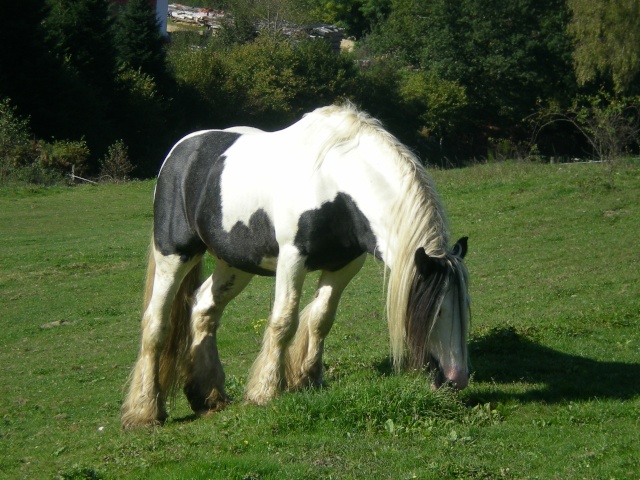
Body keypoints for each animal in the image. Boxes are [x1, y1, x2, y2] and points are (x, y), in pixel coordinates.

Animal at [120, 104, 470, 428]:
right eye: (436, 311)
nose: (456, 379)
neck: (337, 181)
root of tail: (181, 151)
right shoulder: (292, 258)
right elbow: (284, 321)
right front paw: (265, 391)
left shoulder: (344, 265)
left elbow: (320, 319)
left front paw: (309, 378)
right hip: (175, 255)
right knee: (155, 323)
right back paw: (145, 411)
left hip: (234, 265)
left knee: (204, 309)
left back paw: (208, 396)